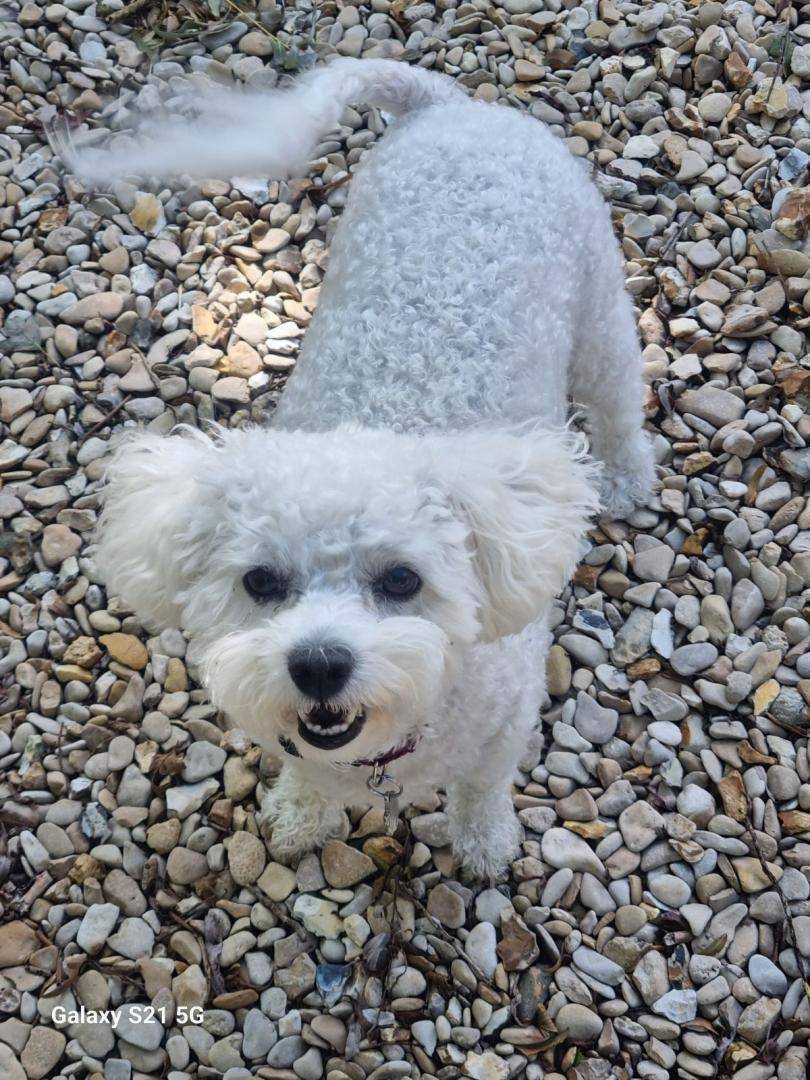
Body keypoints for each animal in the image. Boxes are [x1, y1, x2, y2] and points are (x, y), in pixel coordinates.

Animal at [83, 59, 655, 878]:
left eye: (402, 581)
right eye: (260, 582)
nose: (319, 665)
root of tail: (448, 105)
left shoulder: (506, 725)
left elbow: (484, 786)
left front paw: (485, 843)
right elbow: (302, 773)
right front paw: (298, 817)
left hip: (600, 304)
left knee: (617, 395)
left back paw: (628, 477)